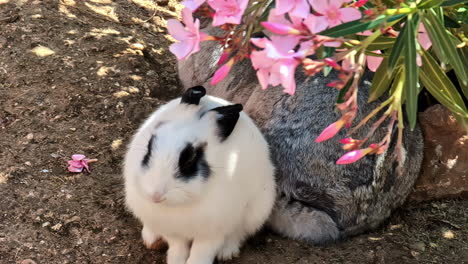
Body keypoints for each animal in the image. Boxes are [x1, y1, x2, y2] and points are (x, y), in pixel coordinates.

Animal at [124, 85, 278, 262]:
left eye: (190, 159)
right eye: (149, 148)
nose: (155, 196)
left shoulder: (213, 231)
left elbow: (201, 252)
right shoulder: (173, 231)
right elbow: (178, 248)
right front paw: (176, 261)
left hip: (257, 210)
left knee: (239, 233)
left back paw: (227, 252)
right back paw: (151, 239)